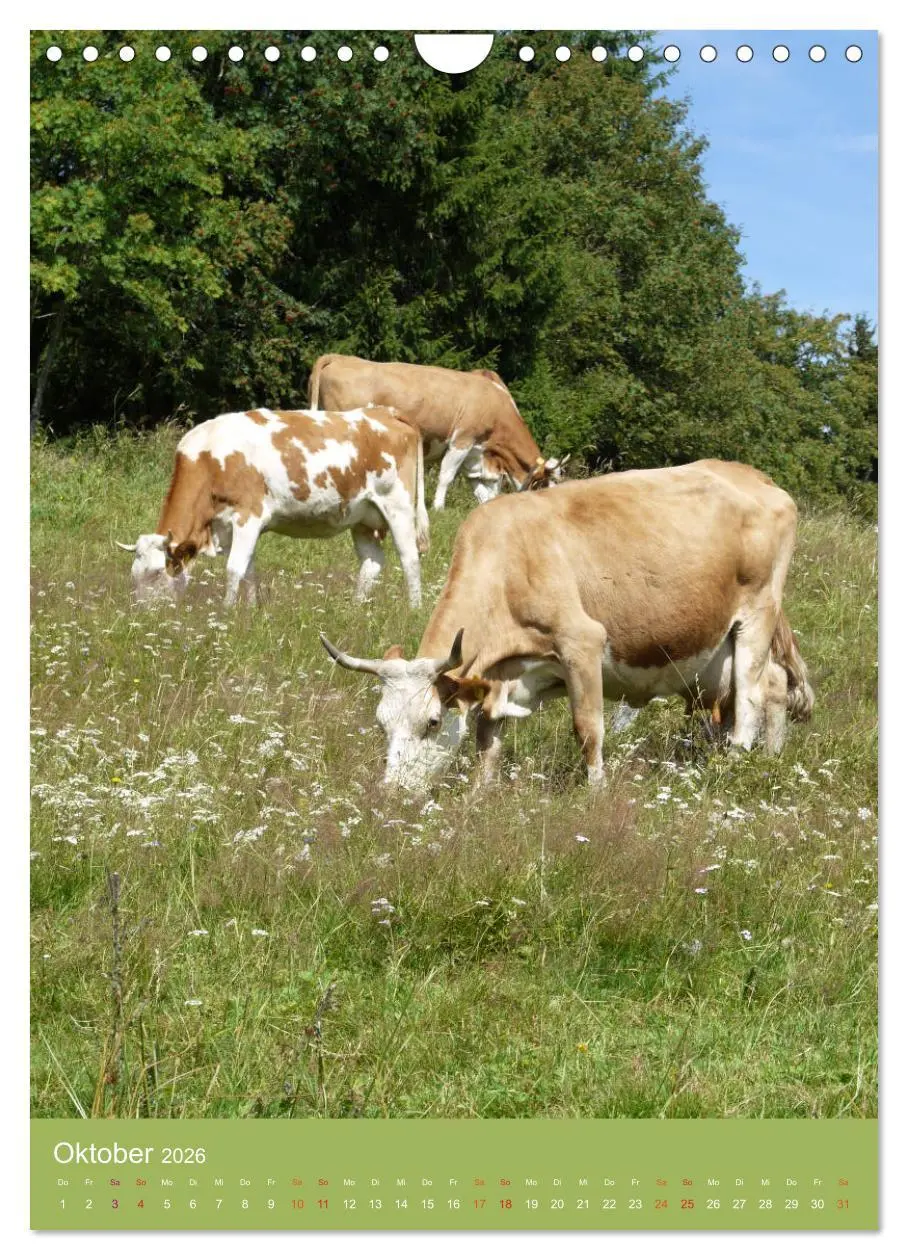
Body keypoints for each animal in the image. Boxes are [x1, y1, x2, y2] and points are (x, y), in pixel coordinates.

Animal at [116, 406, 430, 608]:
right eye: (134, 575)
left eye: (156, 573)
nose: (143, 614)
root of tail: (385, 412)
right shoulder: (231, 526)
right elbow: (248, 570)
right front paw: (250, 612)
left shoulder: (248, 516)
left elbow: (234, 569)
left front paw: (225, 614)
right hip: (362, 517)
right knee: (372, 563)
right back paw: (354, 610)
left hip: (398, 506)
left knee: (410, 559)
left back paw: (414, 610)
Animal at [307, 354, 568, 508]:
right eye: (545, 485)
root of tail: (340, 357)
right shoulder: (462, 440)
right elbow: (446, 476)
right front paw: (438, 507)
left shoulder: (475, 453)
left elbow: (482, 488)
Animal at [320, 459, 814, 794]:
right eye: (382, 724)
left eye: (432, 721)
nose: (392, 793)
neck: (508, 562)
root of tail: (756, 477)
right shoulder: (500, 677)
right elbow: (487, 740)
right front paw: (480, 795)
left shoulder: (583, 645)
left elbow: (588, 729)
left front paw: (595, 793)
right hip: (714, 652)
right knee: (771, 685)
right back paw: (768, 760)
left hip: (756, 617)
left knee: (750, 699)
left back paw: (730, 768)